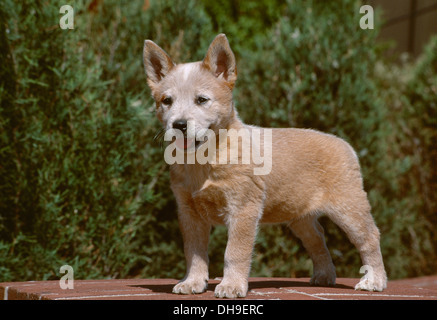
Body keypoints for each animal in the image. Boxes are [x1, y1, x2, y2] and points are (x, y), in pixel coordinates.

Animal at [143, 33, 384, 298]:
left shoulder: (243, 208)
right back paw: (324, 276)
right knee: (318, 239)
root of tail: (344, 144)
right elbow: (194, 252)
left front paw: (231, 285)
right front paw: (192, 282)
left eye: (202, 100)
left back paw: (374, 280)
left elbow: (234, 252)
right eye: (167, 101)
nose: (179, 124)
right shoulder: (189, 212)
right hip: (300, 217)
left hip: (349, 208)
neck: (205, 160)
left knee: (370, 237)